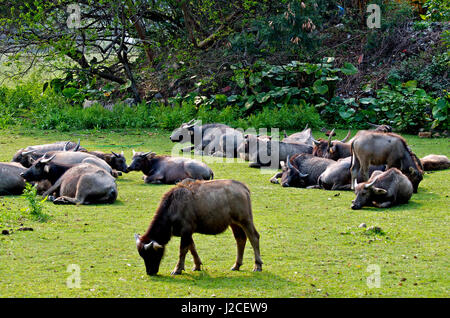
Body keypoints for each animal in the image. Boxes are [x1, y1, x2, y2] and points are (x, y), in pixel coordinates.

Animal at [134, 179, 262, 276]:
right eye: (142, 255)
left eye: (150, 254)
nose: (150, 272)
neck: (173, 207)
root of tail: (242, 187)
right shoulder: (188, 233)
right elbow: (192, 248)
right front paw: (197, 265)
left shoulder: (186, 231)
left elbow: (183, 250)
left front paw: (177, 269)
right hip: (234, 224)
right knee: (240, 239)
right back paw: (236, 265)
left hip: (245, 220)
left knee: (254, 237)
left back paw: (257, 265)